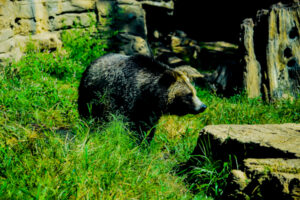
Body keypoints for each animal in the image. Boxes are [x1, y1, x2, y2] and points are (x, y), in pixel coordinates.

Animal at [77, 53, 206, 139]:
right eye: (189, 94)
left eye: (194, 92)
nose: (203, 106)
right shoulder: (126, 101)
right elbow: (128, 125)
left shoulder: (150, 111)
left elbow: (147, 128)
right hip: (92, 95)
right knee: (89, 113)